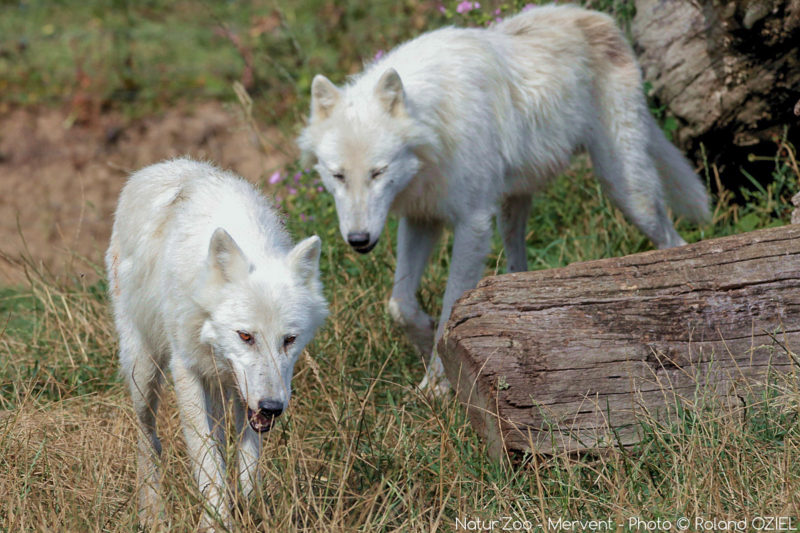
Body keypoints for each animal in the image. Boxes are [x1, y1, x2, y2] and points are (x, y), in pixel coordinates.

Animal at [107, 157, 328, 528]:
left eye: (289, 339)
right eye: (245, 336)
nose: (272, 407)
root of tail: (158, 166)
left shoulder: (247, 398)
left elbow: (247, 463)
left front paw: (251, 514)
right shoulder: (187, 371)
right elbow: (207, 464)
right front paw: (216, 524)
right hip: (144, 372)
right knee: (148, 438)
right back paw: (152, 514)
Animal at [298, 3, 708, 390]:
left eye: (378, 172)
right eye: (338, 175)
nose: (358, 240)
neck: (437, 122)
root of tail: (598, 18)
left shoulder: (473, 223)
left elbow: (449, 308)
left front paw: (437, 385)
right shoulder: (421, 217)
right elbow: (400, 306)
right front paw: (425, 343)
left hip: (627, 190)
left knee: (673, 240)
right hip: (514, 209)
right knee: (517, 271)